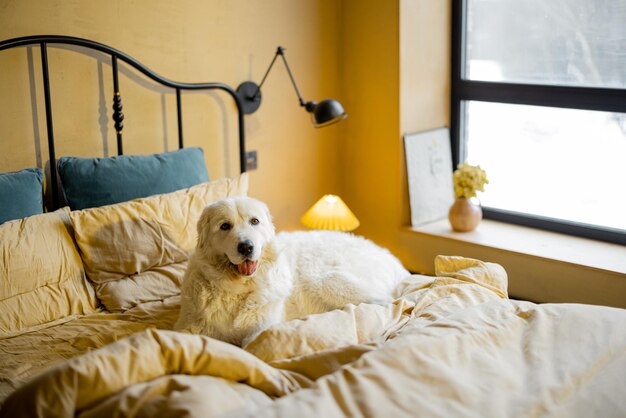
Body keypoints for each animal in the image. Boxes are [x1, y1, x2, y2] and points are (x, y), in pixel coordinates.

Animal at [176, 196, 410, 346]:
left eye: (254, 221)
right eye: (225, 226)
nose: (246, 247)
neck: (238, 288)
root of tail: (395, 262)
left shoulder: (262, 327)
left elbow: (250, 344)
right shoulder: (188, 326)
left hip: (328, 281)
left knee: (388, 304)